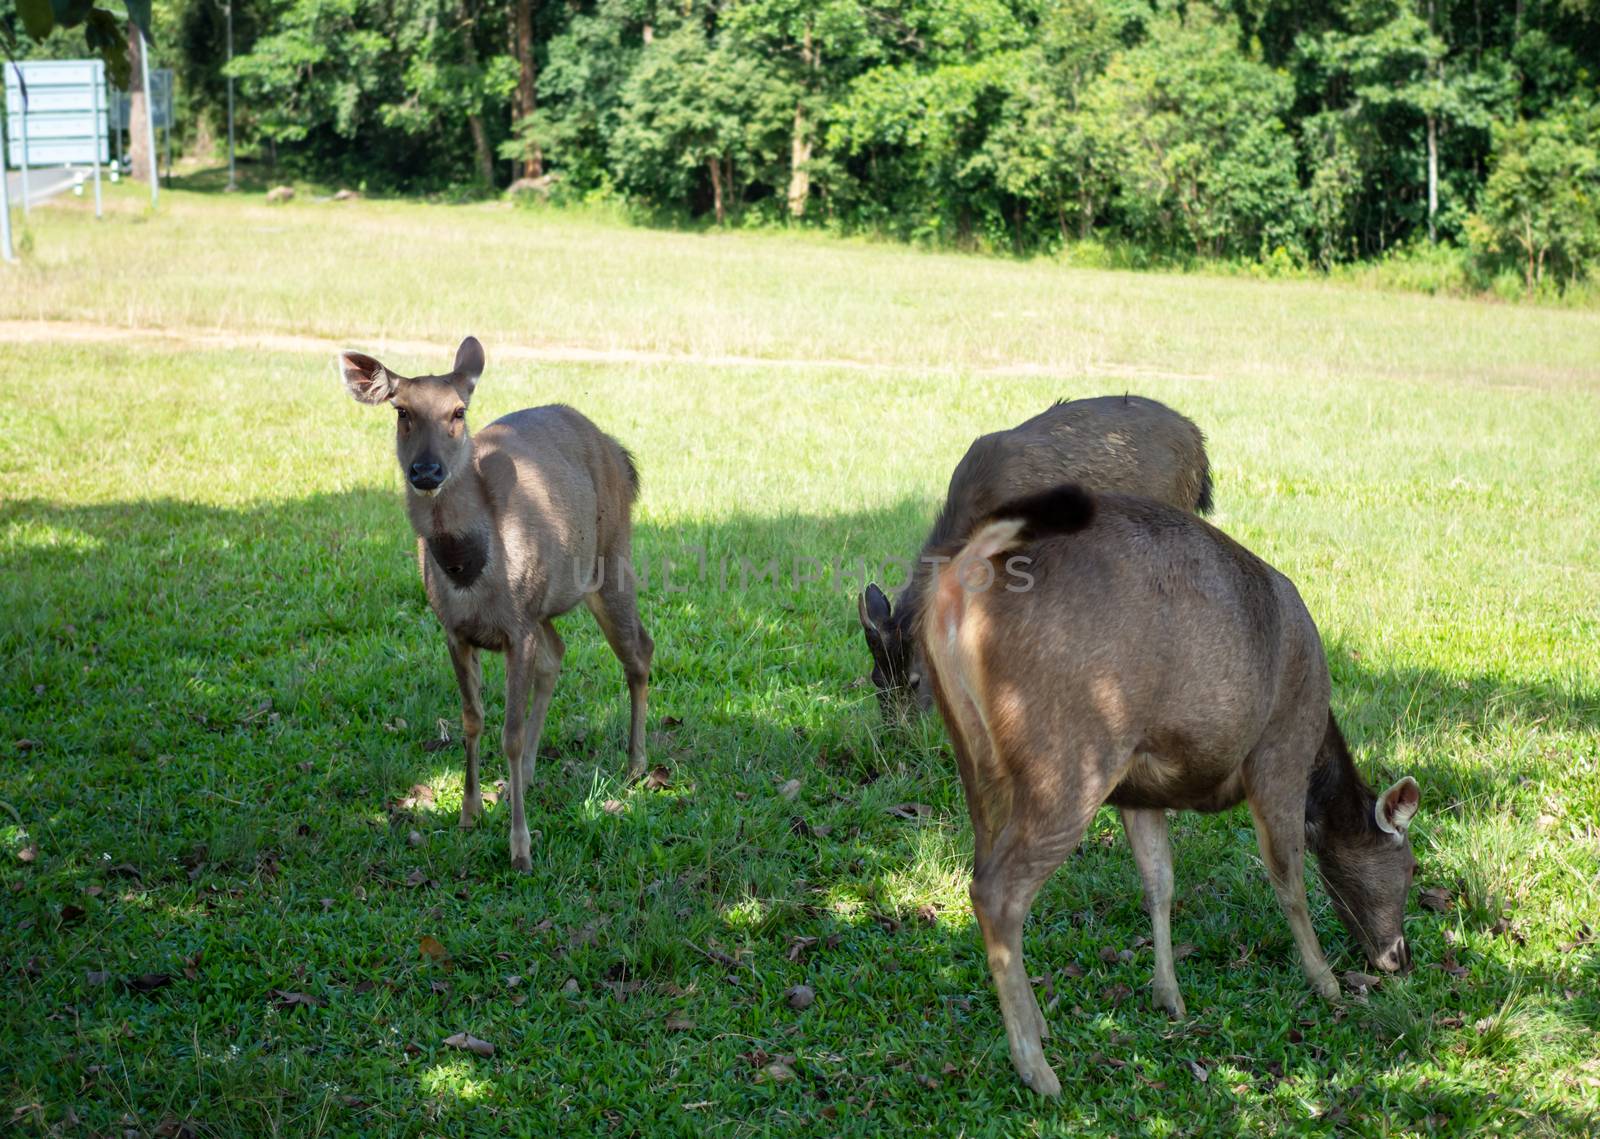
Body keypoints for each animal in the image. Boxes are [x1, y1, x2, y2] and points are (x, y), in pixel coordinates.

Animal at [340, 337, 652, 870]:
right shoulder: (456, 629)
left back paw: (635, 767)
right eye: (401, 411)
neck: (469, 570)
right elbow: (472, 719)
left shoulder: (517, 628)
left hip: (612, 558)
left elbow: (510, 731)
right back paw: (522, 778)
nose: (426, 470)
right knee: (559, 653)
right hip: (548, 601)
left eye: (458, 411)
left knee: (639, 652)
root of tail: (620, 453)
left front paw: (520, 848)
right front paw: (469, 814)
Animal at [921, 486, 1420, 1100]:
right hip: (1071, 755)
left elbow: (1159, 882)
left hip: (976, 758)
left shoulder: (1140, 795)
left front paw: (1169, 995)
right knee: (996, 891)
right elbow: (1289, 880)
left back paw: (1036, 1021)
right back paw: (1037, 1067)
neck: (1319, 765)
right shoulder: (1280, 752)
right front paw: (1325, 981)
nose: (1398, 956)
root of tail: (959, 581)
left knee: (981, 861)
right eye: (1411, 864)